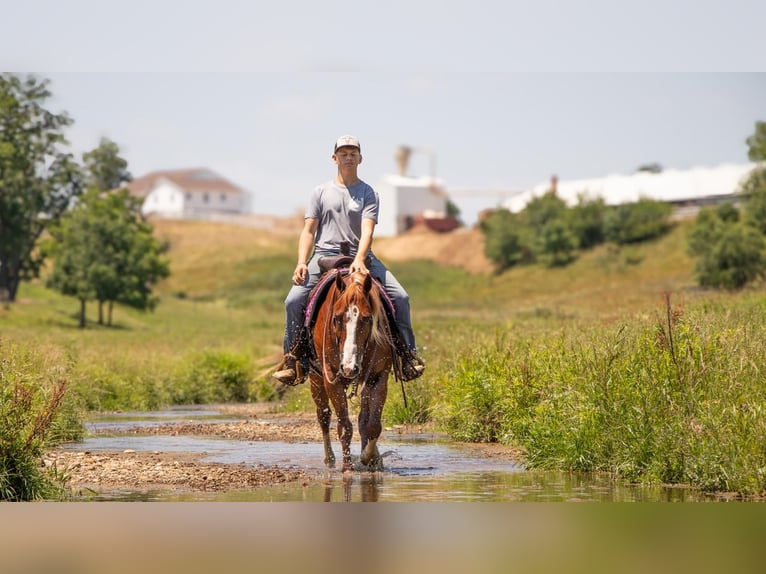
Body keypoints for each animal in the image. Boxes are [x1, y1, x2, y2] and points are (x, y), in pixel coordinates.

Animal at [308, 268, 396, 474]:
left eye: (367, 318)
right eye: (336, 318)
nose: (349, 367)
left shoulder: (378, 377)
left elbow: (373, 425)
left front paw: (370, 458)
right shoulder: (332, 378)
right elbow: (344, 426)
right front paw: (347, 467)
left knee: (363, 419)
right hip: (315, 379)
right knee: (324, 416)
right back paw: (329, 459)